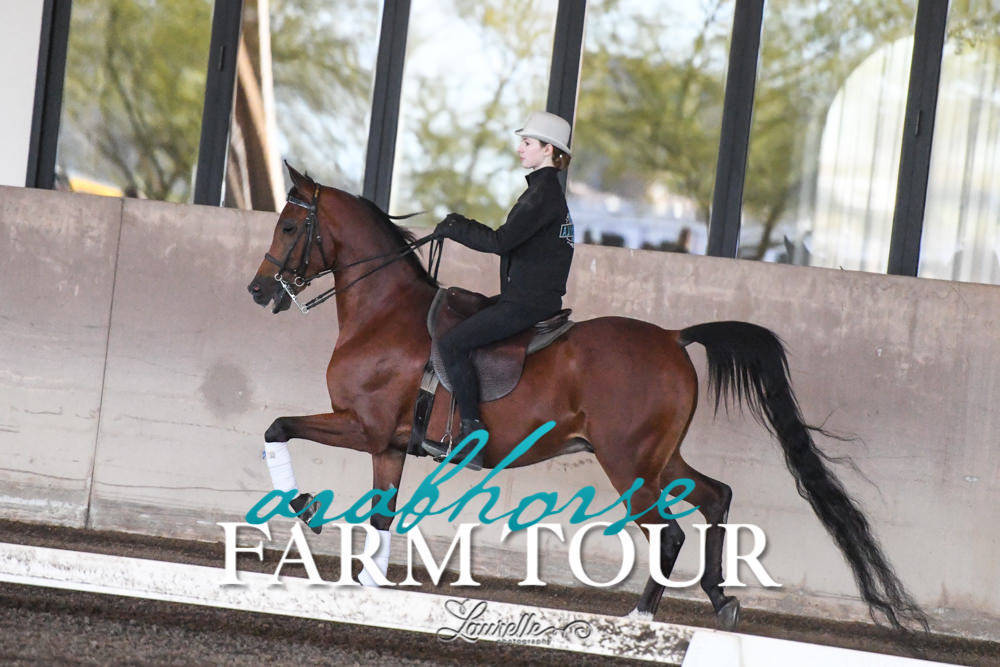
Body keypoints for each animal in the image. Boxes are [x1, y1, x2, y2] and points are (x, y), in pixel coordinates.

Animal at [246, 164, 927, 632]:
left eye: (290, 224)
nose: (259, 291)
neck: (384, 315)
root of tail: (673, 337)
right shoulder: (387, 445)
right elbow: (382, 515)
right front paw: (366, 587)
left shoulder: (360, 425)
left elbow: (278, 426)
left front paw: (305, 506)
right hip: (657, 458)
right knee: (715, 497)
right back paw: (719, 599)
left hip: (627, 462)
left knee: (667, 532)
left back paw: (642, 617)